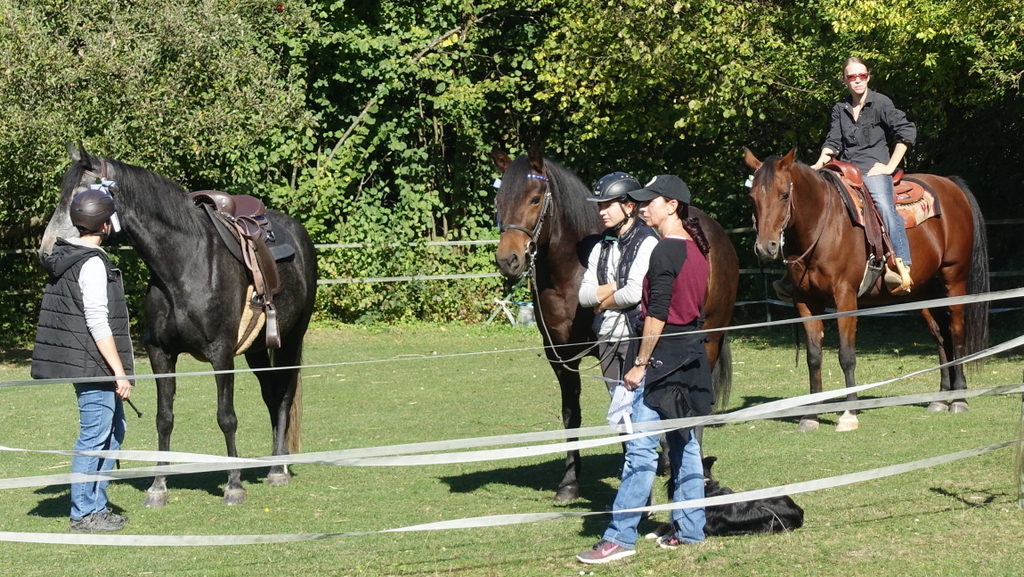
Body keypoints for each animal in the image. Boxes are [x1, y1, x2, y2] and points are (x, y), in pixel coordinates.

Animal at [41, 143, 318, 506]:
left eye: (80, 196)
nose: (46, 251)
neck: (185, 263)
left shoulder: (220, 354)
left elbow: (226, 417)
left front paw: (234, 485)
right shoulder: (160, 353)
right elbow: (164, 419)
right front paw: (158, 487)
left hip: (291, 339)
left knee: (283, 395)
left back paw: (278, 469)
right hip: (256, 349)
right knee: (271, 395)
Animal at [492, 146, 739, 502]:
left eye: (535, 199)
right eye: (498, 199)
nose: (507, 260)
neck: (571, 272)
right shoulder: (560, 358)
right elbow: (572, 415)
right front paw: (569, 484)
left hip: (709, 339)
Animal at [743, 148, 989, 432]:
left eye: (784, 194)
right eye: (752, 197)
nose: (766, 247)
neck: (822, 225)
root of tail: (951, 184)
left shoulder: (845, 298)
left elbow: (846, 355)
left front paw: (849, 413)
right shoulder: (806, 301)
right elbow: (813, 357)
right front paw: (810, 416)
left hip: (954, 278)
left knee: (956, 332)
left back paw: (959, 398)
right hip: (922, 290)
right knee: (940, 335)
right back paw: (940, 399)